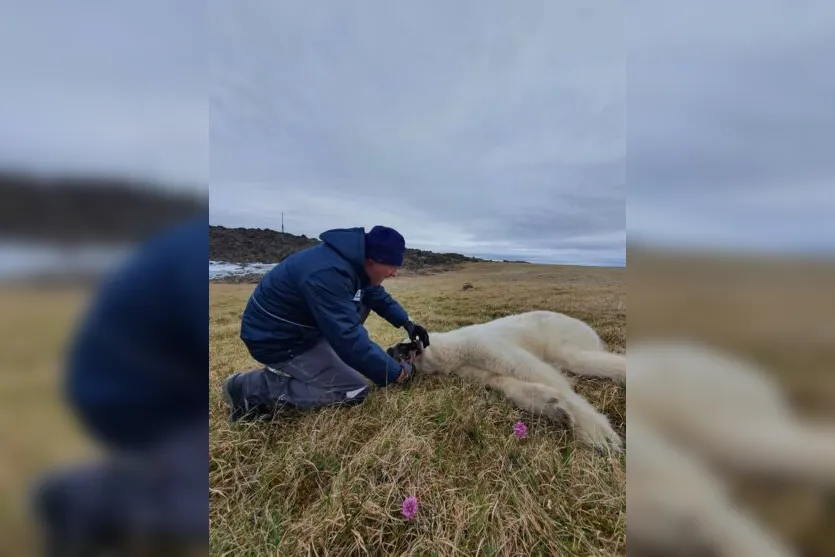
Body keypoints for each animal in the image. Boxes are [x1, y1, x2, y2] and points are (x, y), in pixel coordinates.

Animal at [388, 310, 624, 454]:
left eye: (403, 343)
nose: (390, 350)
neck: (451, 352)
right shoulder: (469, 368)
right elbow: (504, 383)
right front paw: (555, 408)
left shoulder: (479, 345)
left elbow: (527, 368)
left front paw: (598, 433)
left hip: (560, 334)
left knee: (575, 358)